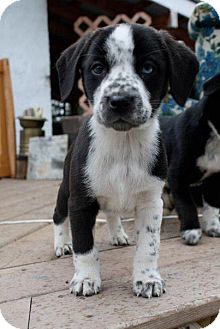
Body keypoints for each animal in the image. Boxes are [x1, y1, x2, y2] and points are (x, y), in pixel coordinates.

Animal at [52, 24, 199, 296]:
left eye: (148, 68)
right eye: (98, 68)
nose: (119, 101)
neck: (123, 145)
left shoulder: (151, 202)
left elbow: (149, 247)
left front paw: (147, 279)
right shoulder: (80, 201)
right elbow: (84, 246)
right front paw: (86, 278)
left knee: (112, 213)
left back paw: (118, 234)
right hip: (66, 190)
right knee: (58, 216)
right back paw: (62, 244)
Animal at [160, 73, 220, 245]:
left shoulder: (214, 177)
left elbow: (212, 205)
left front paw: (213, 226)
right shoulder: (177, 177)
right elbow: (187, 205)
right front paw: (191, 231)